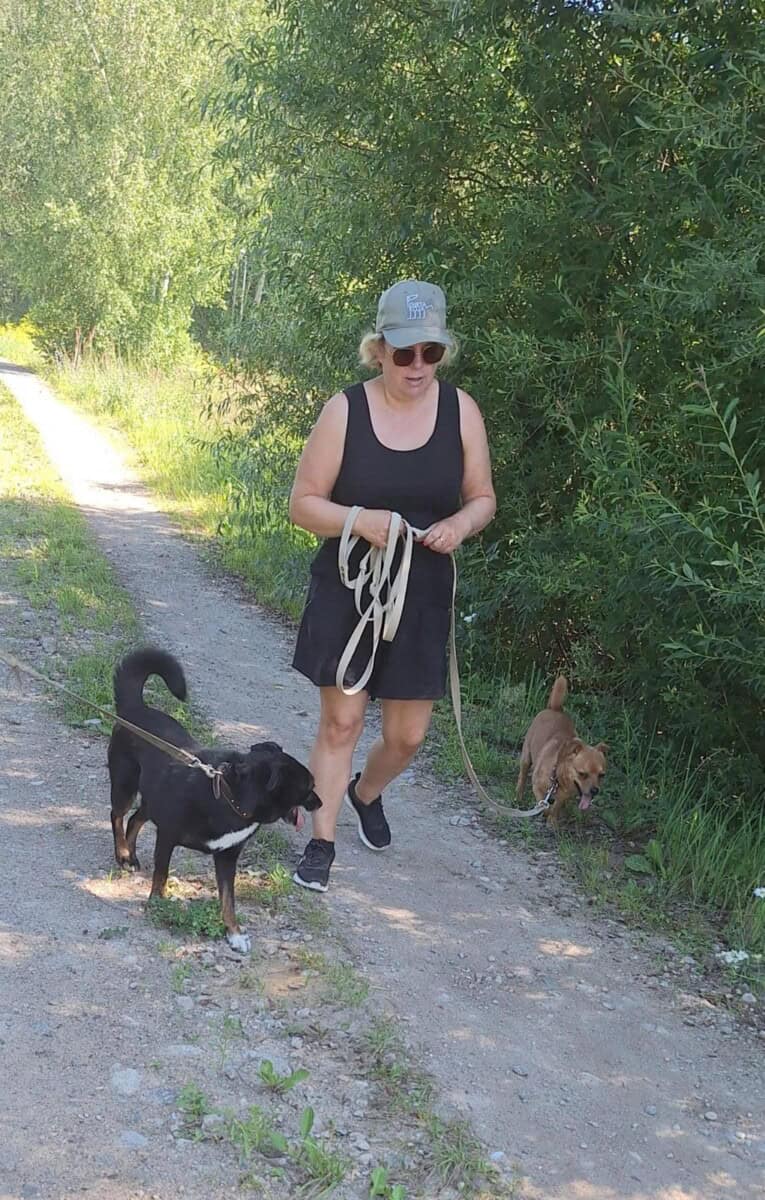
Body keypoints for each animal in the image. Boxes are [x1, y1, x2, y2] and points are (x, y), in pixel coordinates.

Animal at [108, 647, 321, 952]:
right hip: (125, 785)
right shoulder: (167, 837)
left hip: (152, 798)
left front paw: (234, 933)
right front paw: (157, 904)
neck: (229, 796)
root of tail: (133, 709)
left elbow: (228, 900)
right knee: (117, 815)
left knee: (136, 818)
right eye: (308, 787)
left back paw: (132, 855)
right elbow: (161, 875)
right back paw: (123, 853)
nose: (320, 802)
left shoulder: (227, 857)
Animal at [515, 676, 607, 829]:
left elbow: (556, 806)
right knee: (522, 777)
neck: (558, 776)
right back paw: (519, 795)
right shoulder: (537, 787)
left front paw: (552, 820)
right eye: (582, 774)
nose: (595, 790)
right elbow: (543, 803)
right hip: (526, 757)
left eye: (602, 775)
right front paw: (545, 812)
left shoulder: (565, 796)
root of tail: (555, 708)